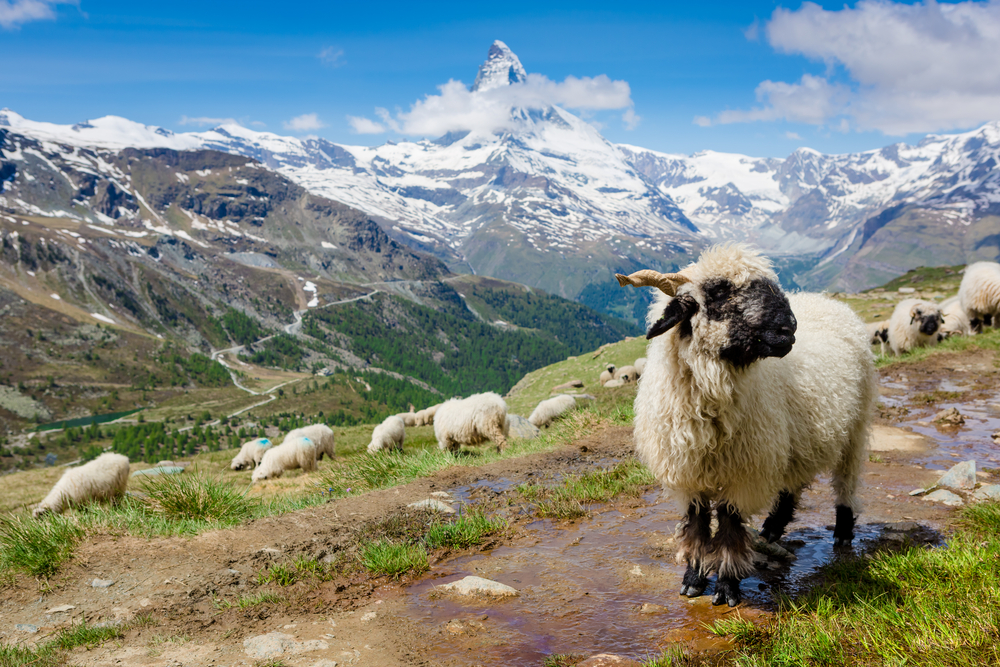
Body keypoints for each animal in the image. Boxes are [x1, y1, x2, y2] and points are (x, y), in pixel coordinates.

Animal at [616, 244, 876, 607]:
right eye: (718, 291)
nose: (788, 329)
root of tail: (826, 301)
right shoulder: (687, 477)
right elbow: (696, 526)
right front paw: (693, 578)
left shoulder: (743, 474)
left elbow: (729, 527)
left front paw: (726, 586)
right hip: (794, 441)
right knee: (791, 485)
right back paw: (772, 529)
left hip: (854, 429)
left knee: (846, 483)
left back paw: (842, 532)